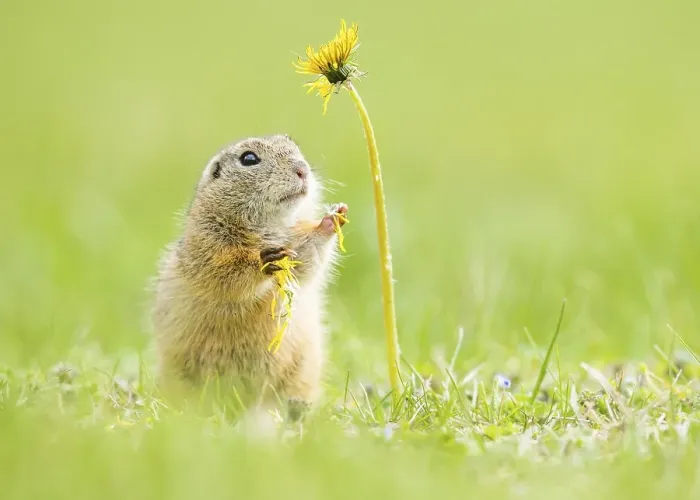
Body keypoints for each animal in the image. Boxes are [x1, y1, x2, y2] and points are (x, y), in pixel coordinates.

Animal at [150, 134, 347, 411]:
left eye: (293, 145)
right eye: (249, 158)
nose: (302, 169)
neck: (268, 228)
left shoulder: (294, 240)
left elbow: (306, 263)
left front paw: (332, 219)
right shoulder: (207, 243)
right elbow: (224, 272)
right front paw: (264, 260)